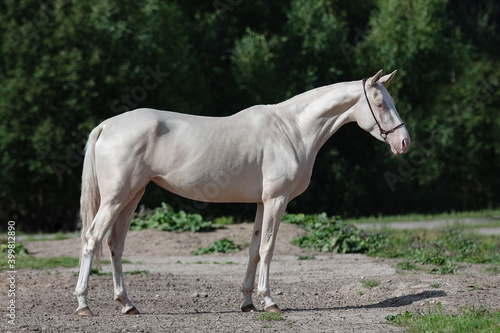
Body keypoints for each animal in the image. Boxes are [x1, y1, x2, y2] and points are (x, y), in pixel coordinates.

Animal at [74, 69, 410, 314]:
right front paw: (270, 301)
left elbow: (253, 249)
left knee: (115, 245)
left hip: (132, 196)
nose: (404, 142)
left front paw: (248, 302)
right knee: (92, 240)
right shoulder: (277, 200)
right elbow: (268, 249)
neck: (292, 130)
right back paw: (83, 304)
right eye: (381, 104)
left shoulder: (262, 203)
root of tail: (106, 126)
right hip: (115, 199)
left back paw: (127, 304)